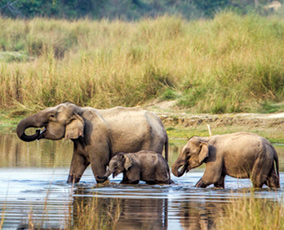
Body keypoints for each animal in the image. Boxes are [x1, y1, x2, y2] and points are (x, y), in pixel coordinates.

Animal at [17, 102, 169, 183]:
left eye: (52, 116)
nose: (37, 131)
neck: (79, 110)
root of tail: (163, 128)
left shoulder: (95, 138)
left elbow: (98, 165)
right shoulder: (81, 141)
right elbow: (76, 166)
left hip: (153, 141)